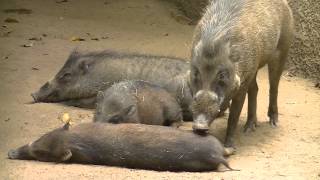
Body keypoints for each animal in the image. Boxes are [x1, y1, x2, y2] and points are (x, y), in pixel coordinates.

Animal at [189, 0, 294, 149]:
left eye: (222, 75)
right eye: (196, 73)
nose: (199, 126)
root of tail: (286, 4)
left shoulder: (241, 85)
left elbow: (233, 117)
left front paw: (229, 147)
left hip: (283, 48)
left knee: (274, 86)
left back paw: (273, 123)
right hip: (254, 67)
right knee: (255, 88)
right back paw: (250, 127)